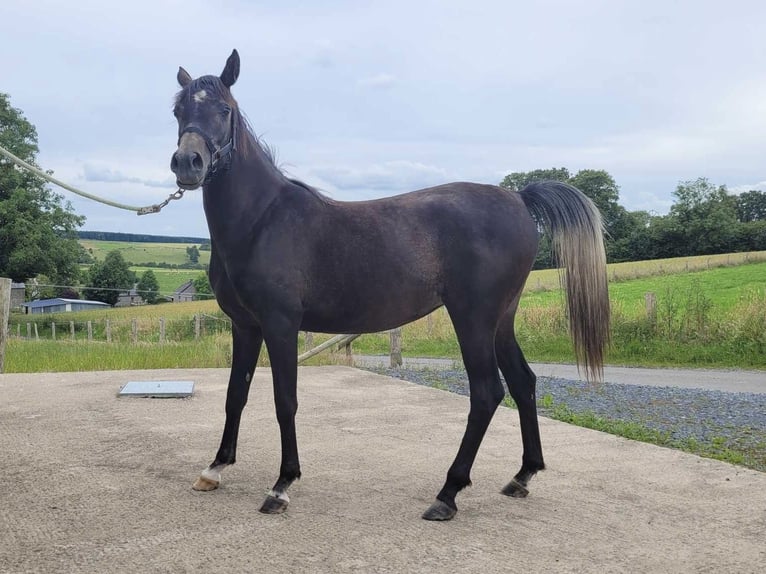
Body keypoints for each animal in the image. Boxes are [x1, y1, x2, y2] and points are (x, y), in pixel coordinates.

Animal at [170, 51, 612, 524]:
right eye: (178, 111)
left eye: (224, 110)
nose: (188, 164)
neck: (263, 220)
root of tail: (519, 198)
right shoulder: (246, 326)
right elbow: (236, 394)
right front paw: (215, 468)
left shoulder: (280, 324)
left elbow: (284, 399)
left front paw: (282, 484)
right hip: (501, 320)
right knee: (523, 383)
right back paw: (521, 477)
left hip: (473, 318)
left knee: (487, 392)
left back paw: (447, 494)